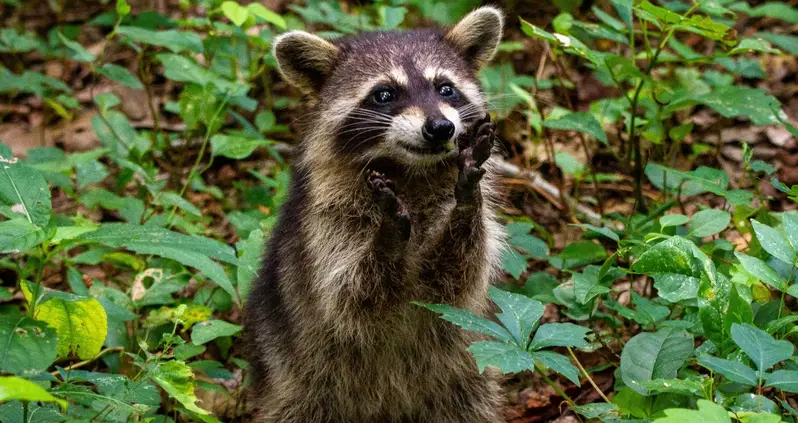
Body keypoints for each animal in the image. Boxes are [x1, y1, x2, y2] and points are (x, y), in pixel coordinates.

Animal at [244, 7, 506, 422]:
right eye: (384, 94)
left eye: (445, 88)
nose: (441, 127)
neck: (410, 171)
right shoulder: (325, 224)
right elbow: (350, 296)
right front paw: (387, 237)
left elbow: (458, 277)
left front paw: (466, 203)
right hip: (299, 384)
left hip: (463, 382)